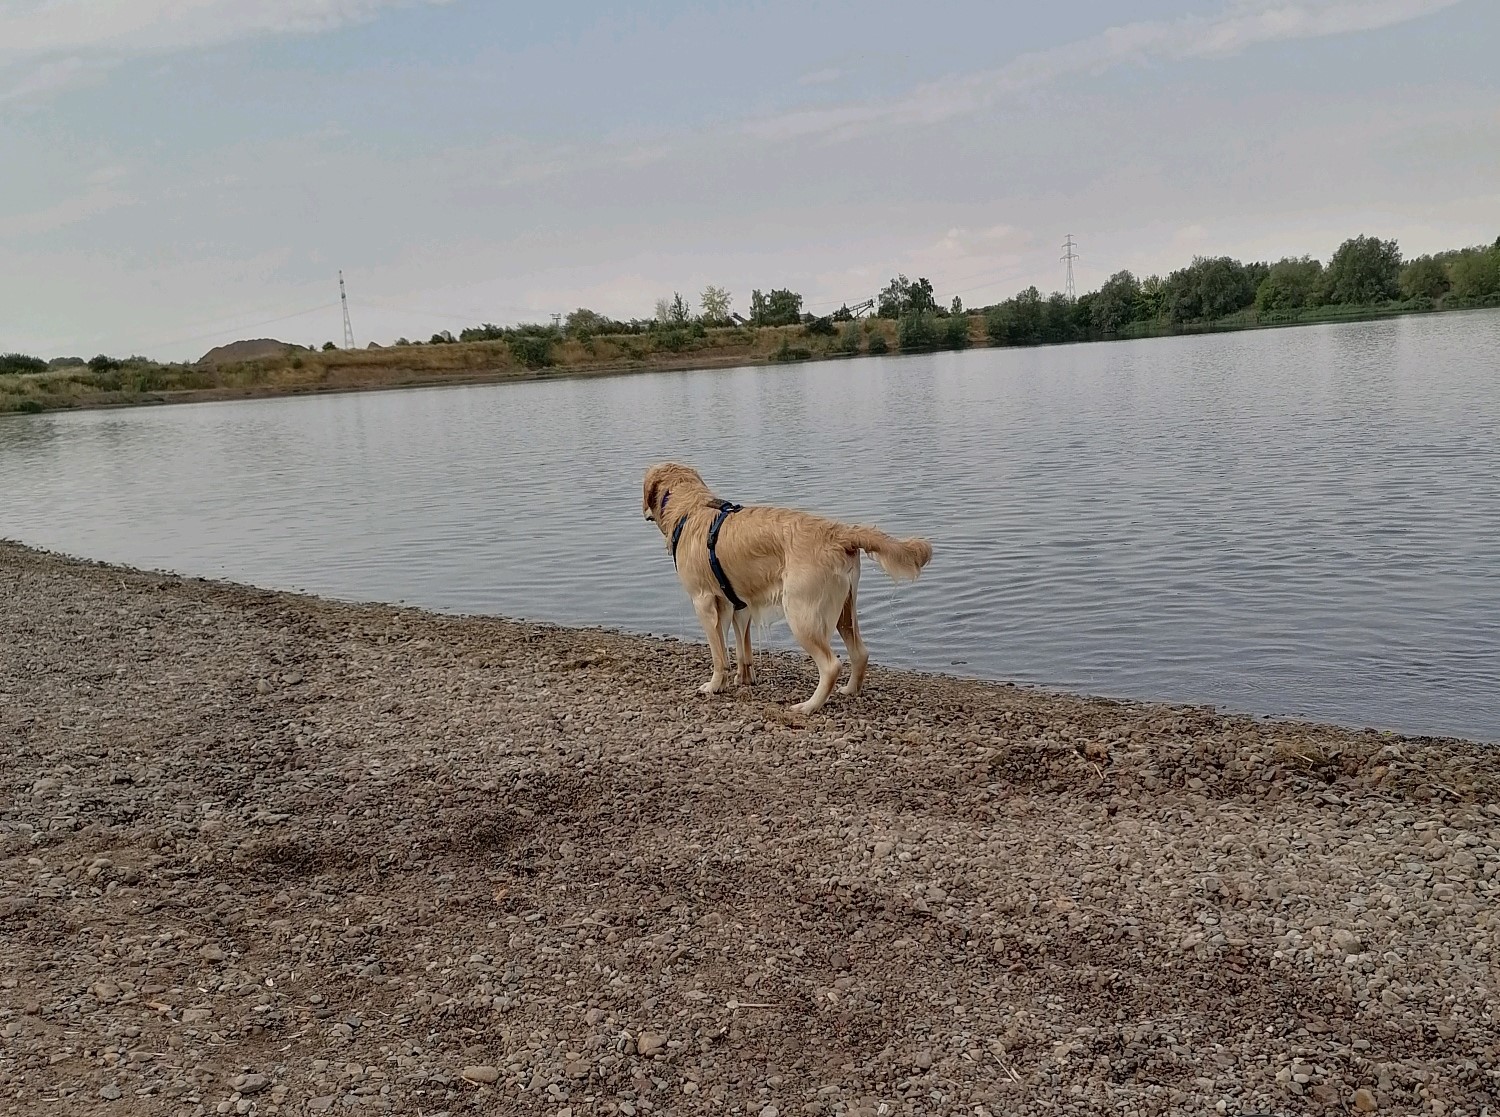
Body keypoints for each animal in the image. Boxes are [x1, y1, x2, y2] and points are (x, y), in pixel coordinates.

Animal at [642, 464, 930, 713]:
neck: (689, 511)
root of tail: (840, 533)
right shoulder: (739, 605)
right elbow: (743, 649)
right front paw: (744, 678)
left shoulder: (705, 603)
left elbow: (719, 654)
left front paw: (714, 685)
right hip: (845, 608)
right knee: (860, 653)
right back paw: (850, 690)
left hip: (801, 613)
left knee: (831, 665)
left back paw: (809, 706)